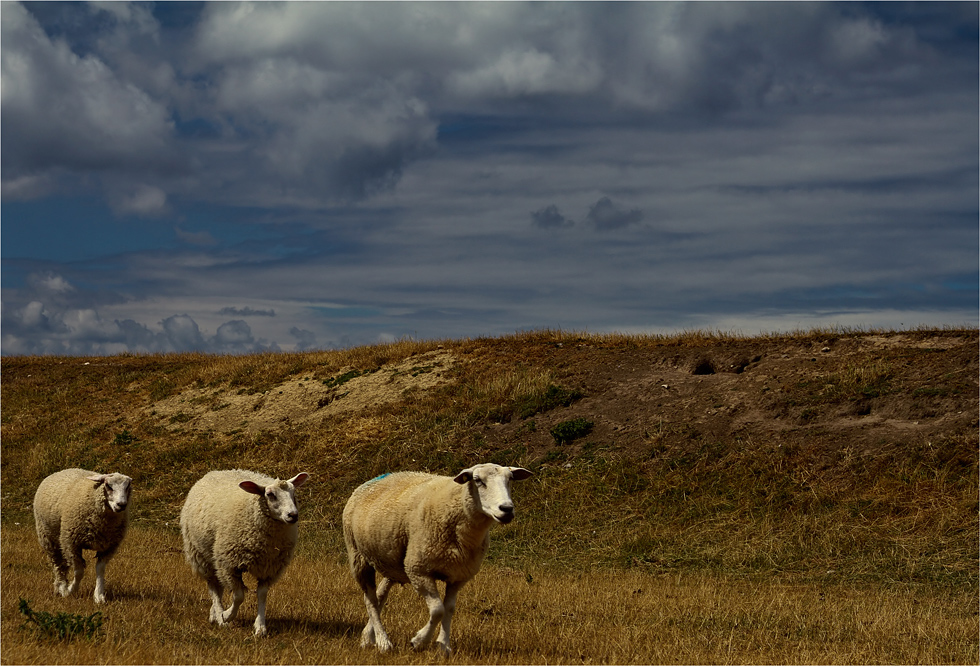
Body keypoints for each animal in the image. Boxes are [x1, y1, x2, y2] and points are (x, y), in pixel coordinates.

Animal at [32, 466, 132, 600]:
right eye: (108, 485)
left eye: (127, 487)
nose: (121, 505)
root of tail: (62, 470)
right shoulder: (71, 543)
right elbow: (79, 572)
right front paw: (70, 590)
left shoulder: (109, 547)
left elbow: (100, 570)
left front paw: (99, 595)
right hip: (48, 537)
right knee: (58, 565)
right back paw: (61, 586)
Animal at [180, 464, 308, 636]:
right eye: (270, 495)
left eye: (293, 492)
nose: (293, 515)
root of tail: (216, 471)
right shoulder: (229, 564)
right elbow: (239, 596)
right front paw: (226, 616)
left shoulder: (269, 567)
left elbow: (262, 595)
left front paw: (260, 627)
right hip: (201, 556)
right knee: (214, 588)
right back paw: (219, 616)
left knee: (218, 587)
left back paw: (213, 615)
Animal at [342, 462, 532, 652]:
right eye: (477, 480)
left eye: (510, 479)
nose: (506, 509)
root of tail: (372, 480)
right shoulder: (418, 570)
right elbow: (437, 610)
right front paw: (419, 641)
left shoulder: (458, 576)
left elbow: (449, 609)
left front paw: (444, 646)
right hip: (359, 557)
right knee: (370, 600)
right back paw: (383, 642)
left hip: (395, 563)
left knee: (380, 595)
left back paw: (368, 637)